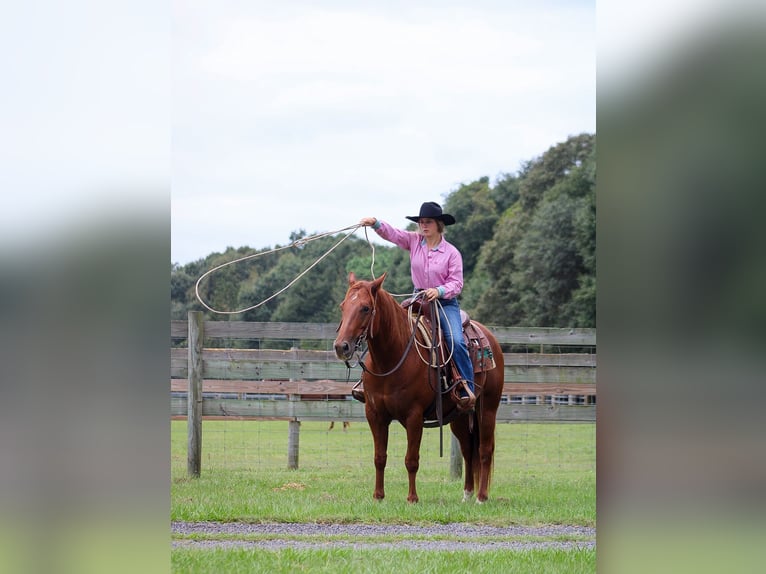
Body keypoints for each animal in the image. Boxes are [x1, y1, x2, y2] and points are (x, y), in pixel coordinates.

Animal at [334, 274, 504, 504]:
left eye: (365, 308)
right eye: (343, 306)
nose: (341, 346)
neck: (392, 359)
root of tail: (489, 337)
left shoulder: (414, 416)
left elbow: (411, 459)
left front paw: (412, 498)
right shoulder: (375, 414)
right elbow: (379, 457)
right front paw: (378, 496)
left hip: (487, 409)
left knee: (484, 450)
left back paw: (481, 497)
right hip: (459, 416)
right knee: (468, 450)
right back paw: (467, 494)